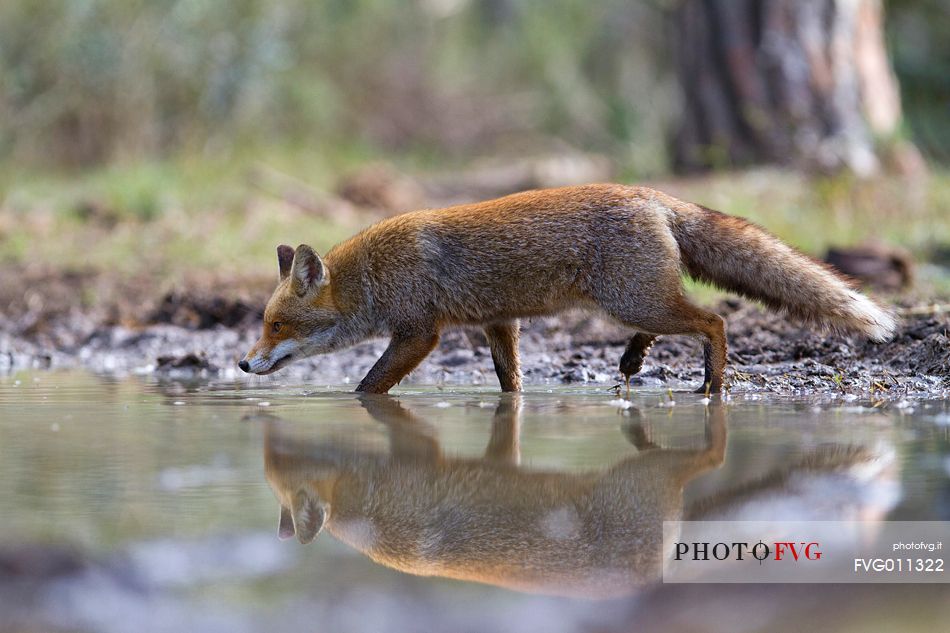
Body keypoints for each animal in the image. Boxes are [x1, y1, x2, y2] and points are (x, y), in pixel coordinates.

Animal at [238, 181, 892, 390]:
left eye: (277, 325)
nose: (244, 365)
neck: (374, 277)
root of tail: (649, 193)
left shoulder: (421, 333)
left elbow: (366, 388)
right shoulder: (497, 322)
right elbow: (512, 385)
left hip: (635, 299)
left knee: (715, 320)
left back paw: (712, 383)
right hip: (639, 303)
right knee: (673, 325)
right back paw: (633, 361)